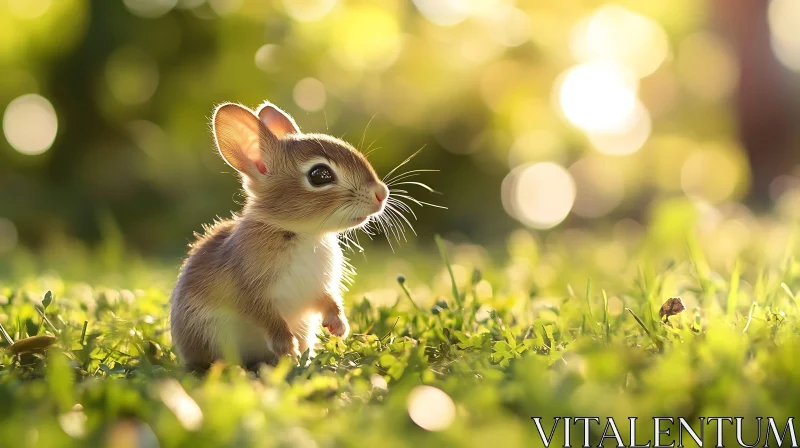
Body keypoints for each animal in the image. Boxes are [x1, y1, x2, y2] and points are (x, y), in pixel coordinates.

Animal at [170, 103, 390, 370]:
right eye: (320, 175)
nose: (381, 193)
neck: (302, 234)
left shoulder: (318, 290)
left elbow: (329, 301)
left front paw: (339, 327)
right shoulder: (252, 294)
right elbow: (269, 321)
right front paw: (288, 348)